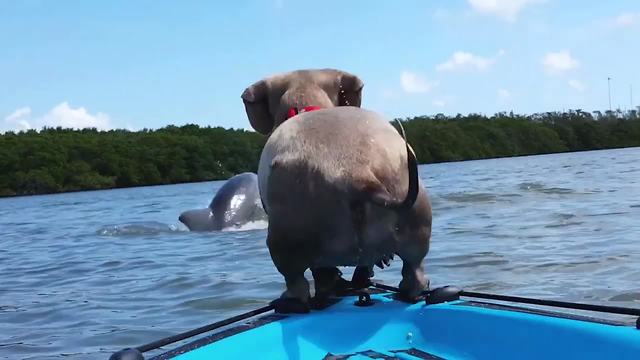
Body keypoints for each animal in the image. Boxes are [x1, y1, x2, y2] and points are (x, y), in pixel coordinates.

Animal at [242, 69, 432, 310]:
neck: (306, 103)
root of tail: (355, 171)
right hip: (417, 213)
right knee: (413, 265)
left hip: (287, 235)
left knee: (296, 278)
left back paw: (291, 299)